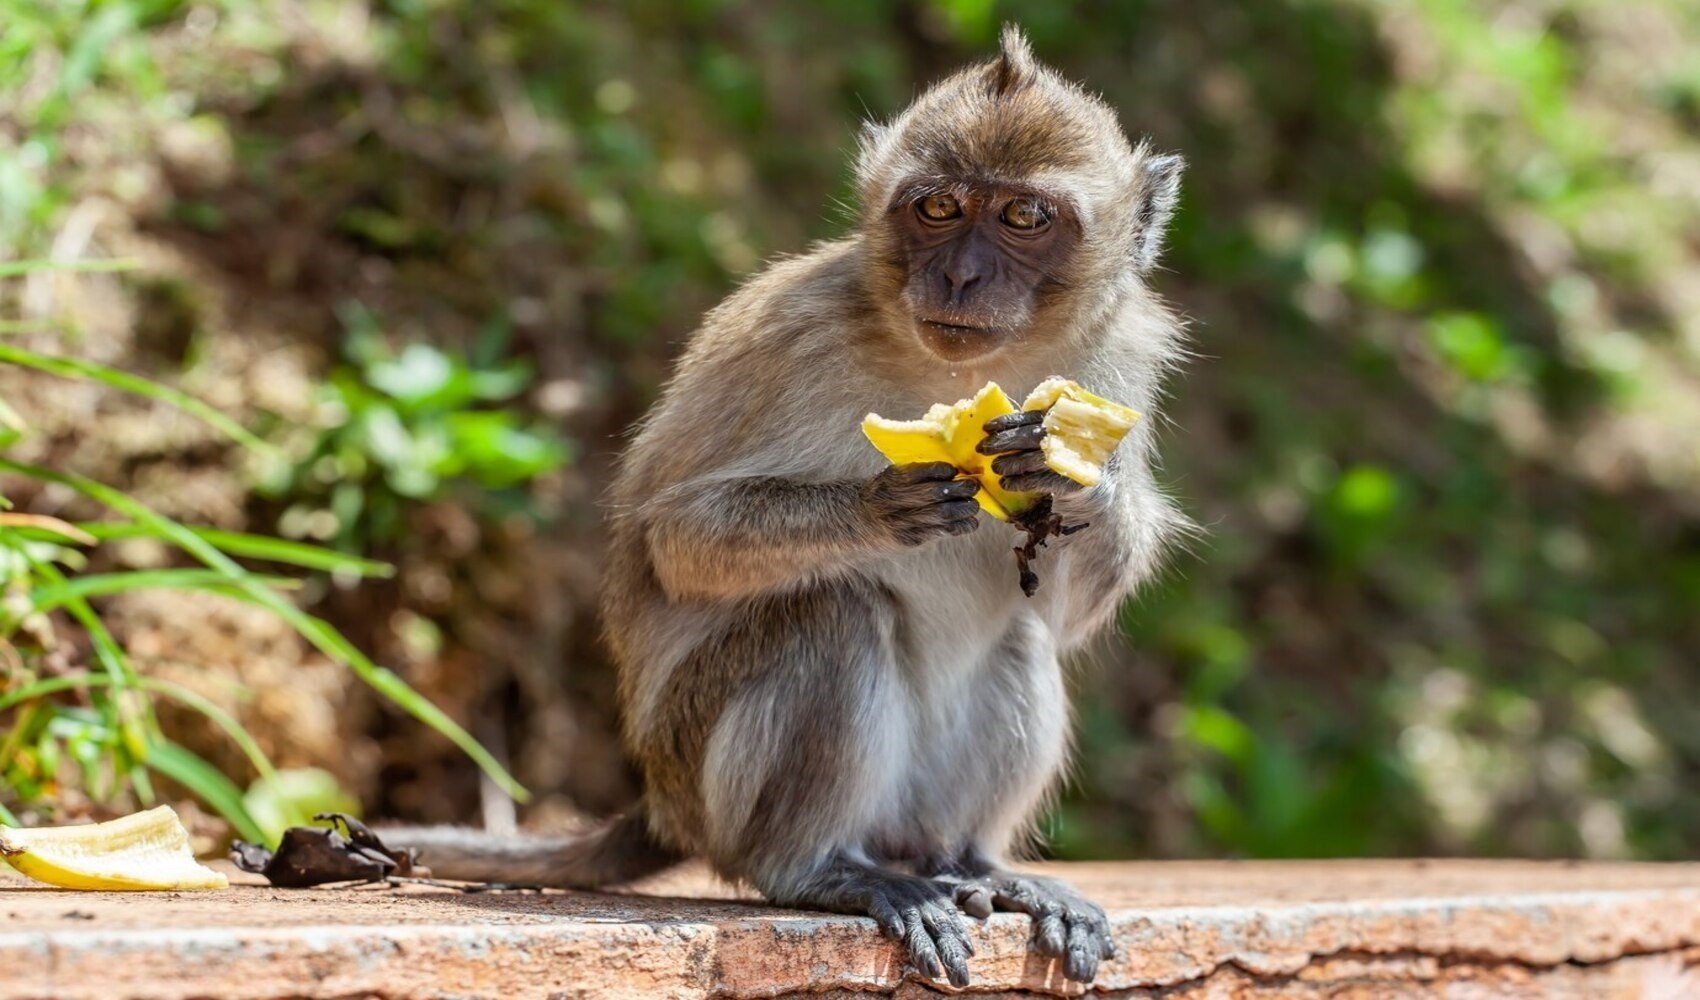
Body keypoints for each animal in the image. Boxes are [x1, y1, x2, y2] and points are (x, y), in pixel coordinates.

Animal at [384, 27, 1183, 986]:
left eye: (1025, 217)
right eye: (940, 207)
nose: (960, 274)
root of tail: (664, 804)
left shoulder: (1124, 354)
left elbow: (1065, 614)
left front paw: (1065, 476)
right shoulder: (793, 333)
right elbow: (675, 538)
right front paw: (879, 510)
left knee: (1018, 642)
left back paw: (974, 864)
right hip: (706, 775)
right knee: (832, 614)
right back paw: (817, 869)